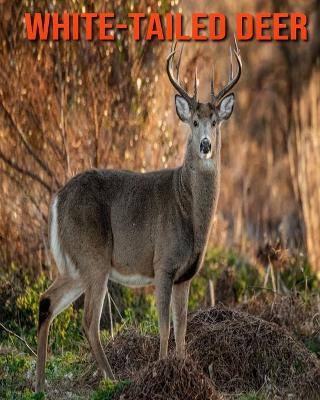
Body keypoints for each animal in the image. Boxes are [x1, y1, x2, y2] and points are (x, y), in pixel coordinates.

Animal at [35, 39, 242, 392]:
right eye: (193, 122)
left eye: (215, 122)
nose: (205, 145)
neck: (189, 212)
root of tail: (57, 198)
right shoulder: (163, 263)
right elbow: (164, 325)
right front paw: (161, 372)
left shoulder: (187, 274)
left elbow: (182, 326)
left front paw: (184, 370)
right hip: (94, 255)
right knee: (88, 320)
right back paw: (111, 378)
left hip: (74, 262)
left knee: (46, 301)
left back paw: (38, 385)